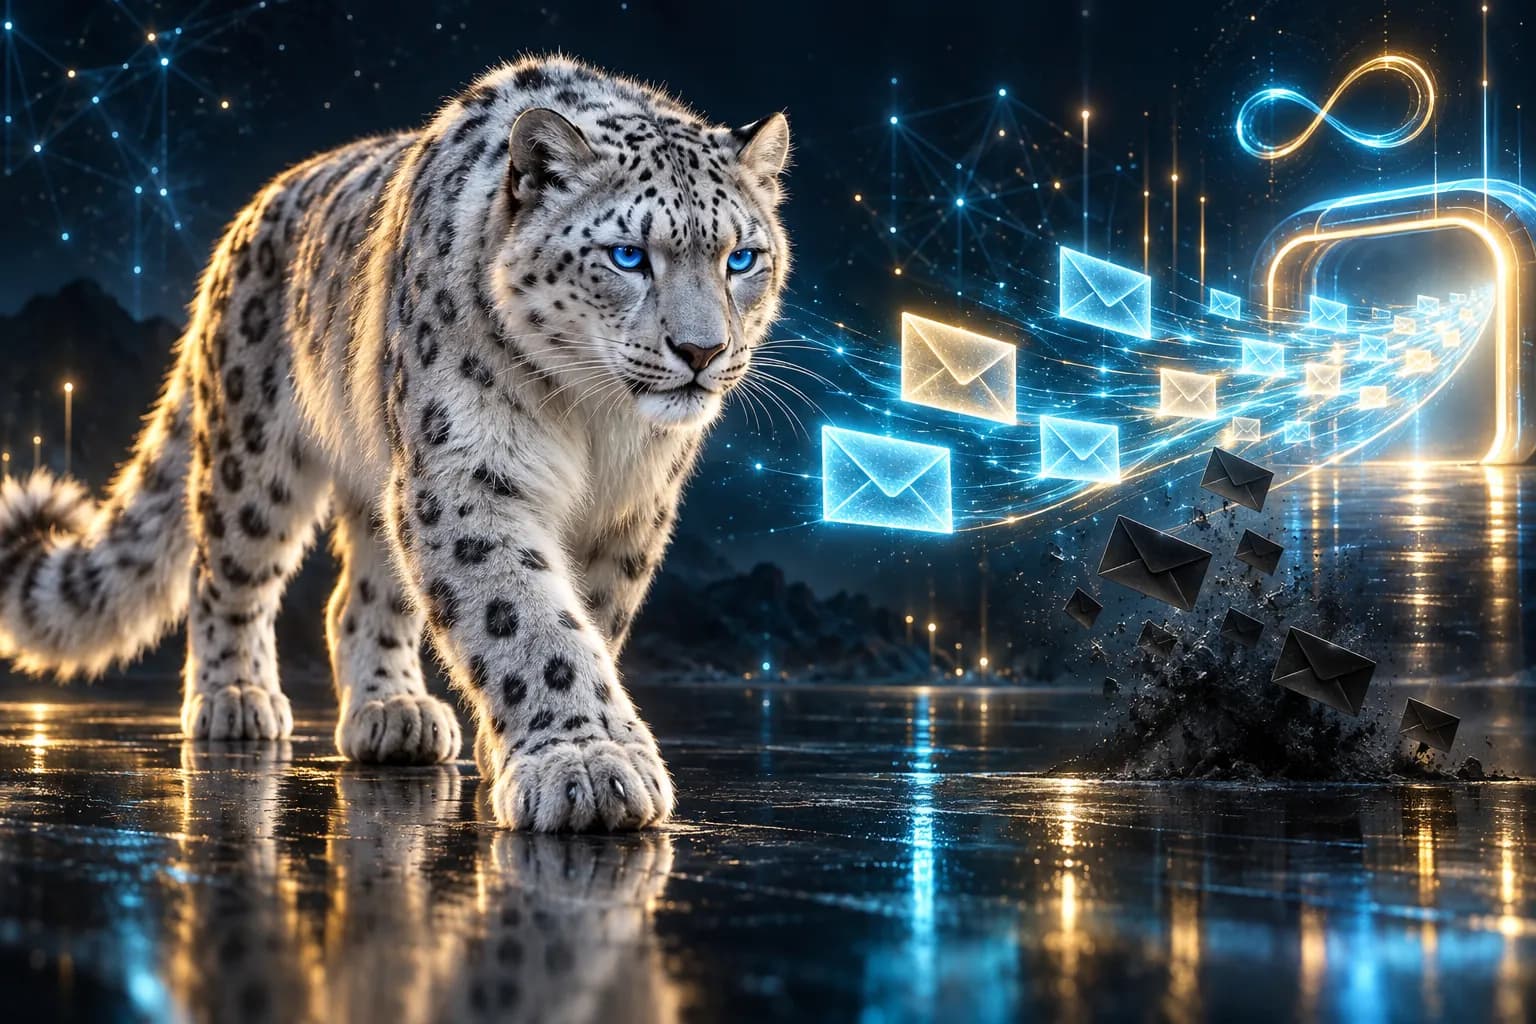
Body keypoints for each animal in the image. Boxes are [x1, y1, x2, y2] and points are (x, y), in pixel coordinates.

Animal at [0, 54, 791, 831]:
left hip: (381, 477)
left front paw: (537, 750)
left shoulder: (632, 508)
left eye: (742, 258)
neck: (597, 421)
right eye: (627, 256)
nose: (701, 351)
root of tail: (243, 225)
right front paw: (587, 766)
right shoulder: (467, 473)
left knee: (359, 598)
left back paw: (393, 712)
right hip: (257, 458)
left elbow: (589, 617)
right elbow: (528, 620)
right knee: (224, 570)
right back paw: (235, 699)